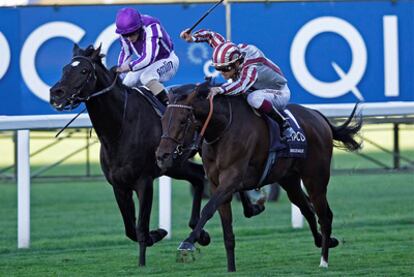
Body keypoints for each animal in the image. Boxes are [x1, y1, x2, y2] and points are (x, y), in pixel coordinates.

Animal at [155, 81, 362, 270]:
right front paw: (231, 268)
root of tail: (318, 116)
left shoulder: (231, 178)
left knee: (324, 216)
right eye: (162, 120)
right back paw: (326, 241)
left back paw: (324, 261)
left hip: (315, 179)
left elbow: (208, 209)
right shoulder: (216, 183)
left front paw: (188, 242)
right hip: (290, 181)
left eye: (183, 121)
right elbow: (227, 232)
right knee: (308, 210)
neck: (222, 128)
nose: (161, 155)